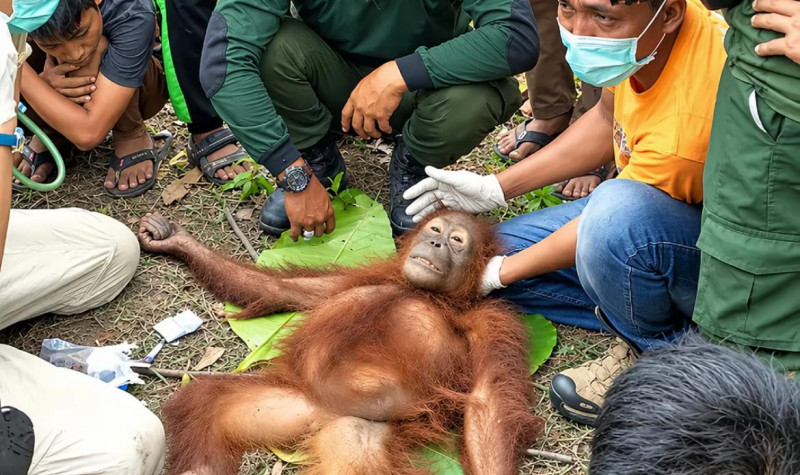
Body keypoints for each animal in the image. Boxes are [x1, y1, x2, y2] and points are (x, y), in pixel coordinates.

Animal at [137, 210, 543, 475]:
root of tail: (320, 415)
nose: (434, 241)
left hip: (355, 434)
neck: (427, 293)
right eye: (436, 229)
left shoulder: (493, 322)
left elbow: (487, 401)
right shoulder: (357, 277)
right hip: (286, 405)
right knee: (206, 402)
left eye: (456, 241)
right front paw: (173, 238)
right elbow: (283, 289)